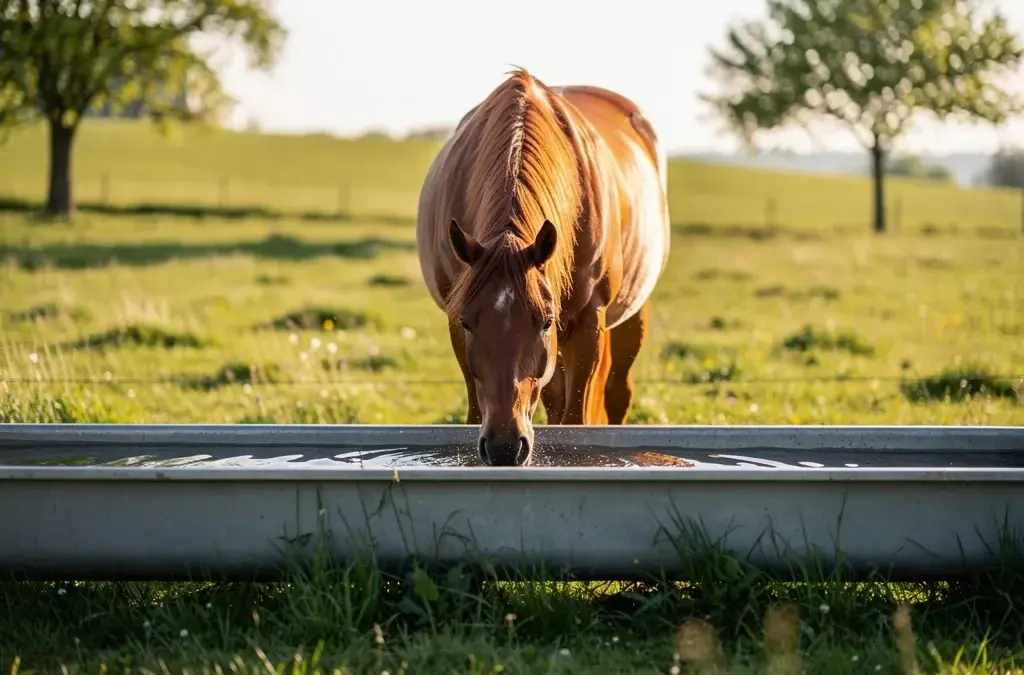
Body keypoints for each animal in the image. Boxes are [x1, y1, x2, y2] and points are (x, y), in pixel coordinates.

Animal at [416, 67, 671, 466]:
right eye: (469, 322)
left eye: (545, 321)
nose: (505, 446)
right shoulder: (456, 325)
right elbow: (476, 410)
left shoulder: (587, 324)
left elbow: (577, 419)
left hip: (630, 314)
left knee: (617, 392)